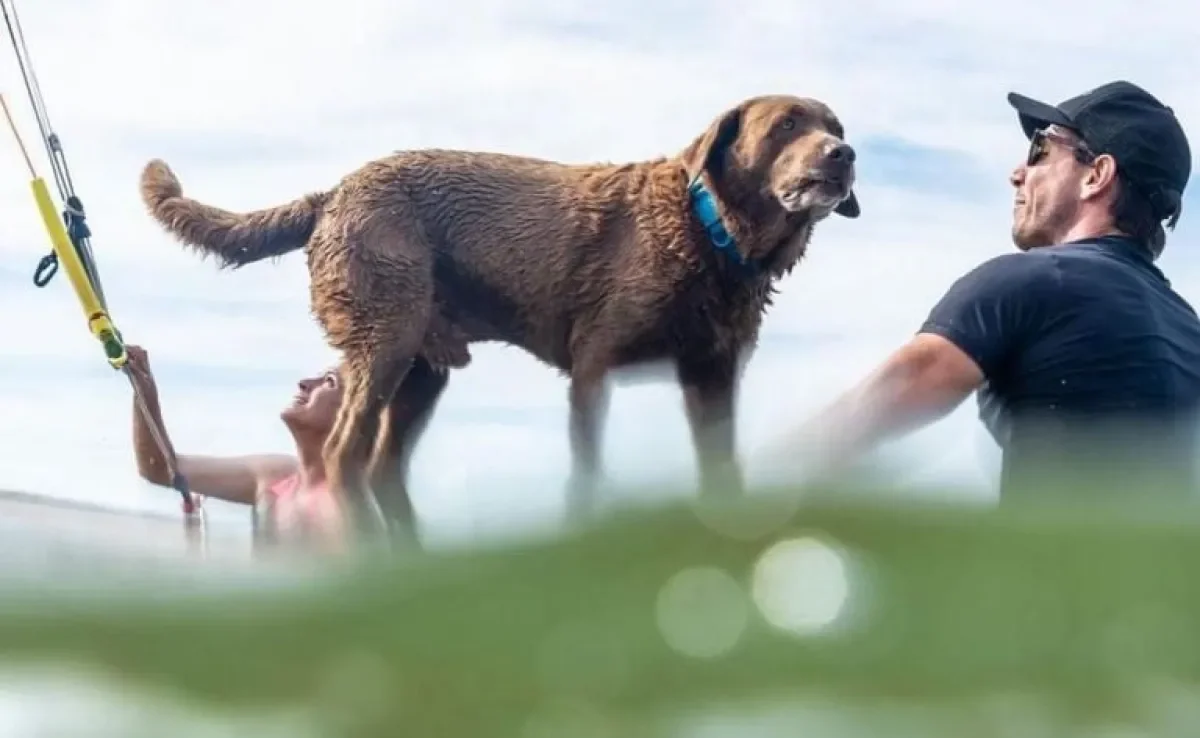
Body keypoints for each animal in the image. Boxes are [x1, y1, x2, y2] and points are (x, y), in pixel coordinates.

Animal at [138, 93, 854, 542]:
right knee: (345, 454)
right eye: (786, 125)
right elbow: (587, 471)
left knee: (382, 467)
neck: (709, 234)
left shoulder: (712, 378)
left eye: (835, 126)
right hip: (387, 337)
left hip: (423, 369)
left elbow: (720, 475)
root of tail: (333, 193)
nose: (843, 155)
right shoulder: (593, 368)